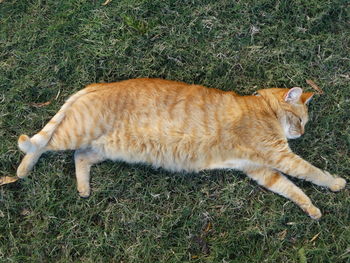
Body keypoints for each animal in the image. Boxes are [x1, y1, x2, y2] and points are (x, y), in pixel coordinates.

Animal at [3, 78, 348, 221]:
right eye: (298, 119)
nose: (300, 133)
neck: (262, 109)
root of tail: (95, 85)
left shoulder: (261, 169)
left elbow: (292, 190)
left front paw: (311, 209)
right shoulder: (279, 156)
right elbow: (310, 172)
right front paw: (335, 183)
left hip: (104, 148)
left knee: (80, 156)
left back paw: (83, 188)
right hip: (75, 132)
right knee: (39, 144)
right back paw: (21, 170)